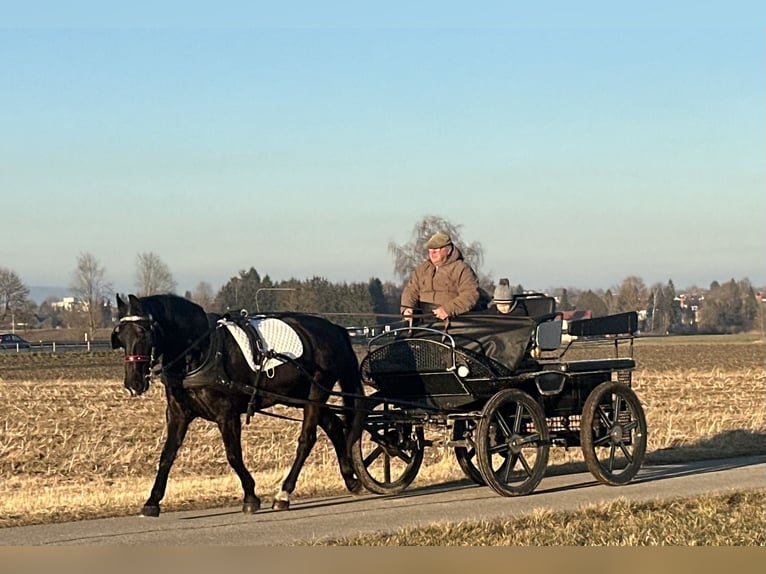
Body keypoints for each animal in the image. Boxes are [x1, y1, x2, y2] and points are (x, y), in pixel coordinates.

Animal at [111, 294, 366, 520]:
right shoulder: (178, 414)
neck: (202, 350)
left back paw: (284, 493)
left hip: (317, 391)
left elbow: (233, 455)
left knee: (307, 439)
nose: (133, 383)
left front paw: (251, 496)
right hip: (301, 396)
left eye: (143, 332)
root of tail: (335, 329)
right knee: (333, 426)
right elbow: (167, 455)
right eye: (120, 337)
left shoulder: (227, 414)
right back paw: (350, 478)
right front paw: (152, 501)